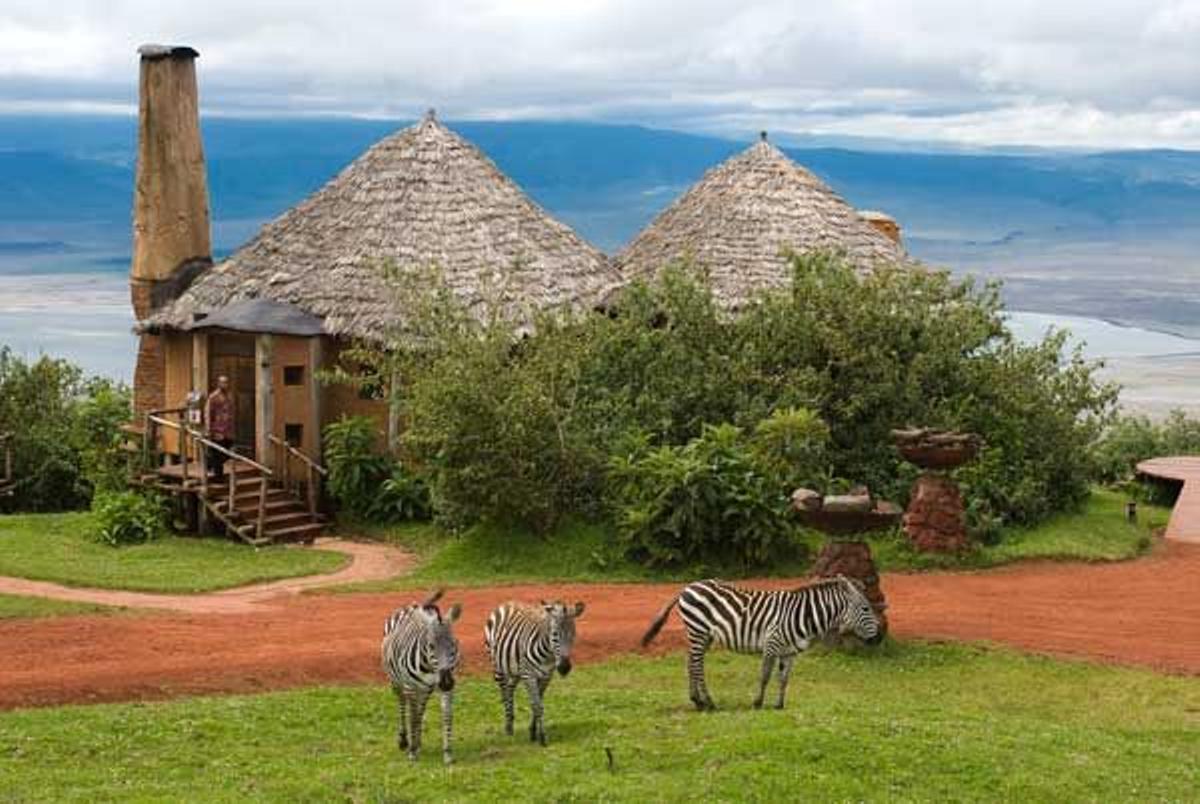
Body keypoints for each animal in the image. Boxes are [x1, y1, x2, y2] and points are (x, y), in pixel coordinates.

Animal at [379, 588, 463, 763]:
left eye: (453, 644)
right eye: (431, 645)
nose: (446, 682)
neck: (430, 667)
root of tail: (413, 605)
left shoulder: (447, 687)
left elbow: (447, 716)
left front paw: (447, 753)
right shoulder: (410, 687)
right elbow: (412, 716)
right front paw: (412, 752)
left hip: (425, 689)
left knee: (420, 709)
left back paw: (417, 741)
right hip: (397, 682)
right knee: (403, 705)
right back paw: (405, 741)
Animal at [482, 602, 585, 748]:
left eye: (573, 634)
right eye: (554, 634)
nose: (564, 668)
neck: (548, 656)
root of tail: (508, 603)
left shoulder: (546, 677)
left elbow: (536, 703)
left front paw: (533, 732)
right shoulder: (529, 676)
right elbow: (538, 706)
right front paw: (542, 737)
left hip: (516, 670)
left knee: (510, 689)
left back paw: (511, 721)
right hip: (498, 667)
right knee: (504, 692)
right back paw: (508, 728)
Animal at [643, 576, 888, 715]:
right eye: (866, 609)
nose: (879, 639)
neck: (804, 615)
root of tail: (687, 587)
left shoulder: (790, 652)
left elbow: (784, 679)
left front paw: (779, 705)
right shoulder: (771, 644)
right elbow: (765, 676)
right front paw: (758, 703)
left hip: (702, 635)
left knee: (692, 663)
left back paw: (697, 701)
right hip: (698, 630)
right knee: (696, 665)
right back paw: (708, 703)